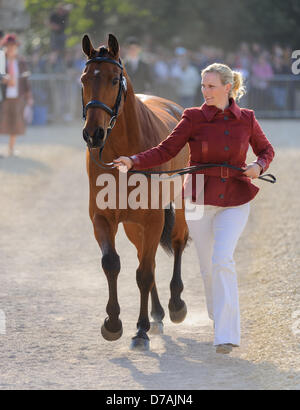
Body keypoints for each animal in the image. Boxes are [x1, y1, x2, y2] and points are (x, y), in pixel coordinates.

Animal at [80, 33, 190, 350]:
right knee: (145, 255)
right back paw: (157, 313)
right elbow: (112, 263)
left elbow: (144, 272)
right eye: (83, 79)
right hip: (132, 224)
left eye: (114, 79)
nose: (93, 134)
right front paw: (113, 323)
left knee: (176, 241)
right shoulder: (103, 217)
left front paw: (140, 330)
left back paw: (175, 305)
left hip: (176, 204)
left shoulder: (153, 218)